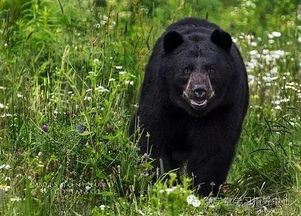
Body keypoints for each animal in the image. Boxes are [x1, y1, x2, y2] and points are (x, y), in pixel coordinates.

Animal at [130, 17, 247, 196]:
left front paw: (202, 189)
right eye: (186, 69)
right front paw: (163, 183)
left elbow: (213, 146)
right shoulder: (160, 98)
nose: (199, 90)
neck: (189, 111)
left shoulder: (223, 106)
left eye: (211, 69)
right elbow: (152, 137)